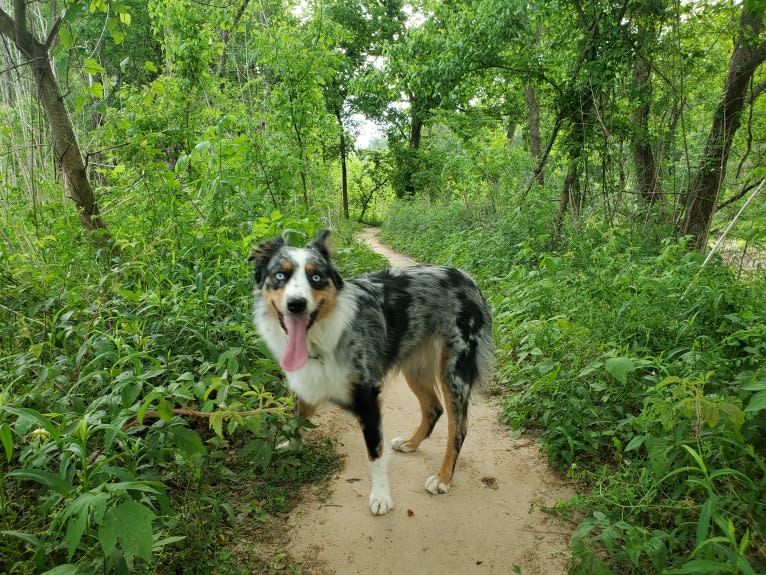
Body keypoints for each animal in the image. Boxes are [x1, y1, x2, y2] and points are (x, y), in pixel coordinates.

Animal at [249, 231, 496, 516]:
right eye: (280, 275)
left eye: (316, 277)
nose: (296, 305)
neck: (320, 335)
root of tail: (468, 278)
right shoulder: (309, 384)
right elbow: (297, 421)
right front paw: (291, 447)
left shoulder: (367, 397)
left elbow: (375, 454)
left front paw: (381, 497)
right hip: (414, 366)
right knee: (433, 408)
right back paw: (411, 443)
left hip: (453, 373)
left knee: (459, 428)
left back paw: (443, 477)